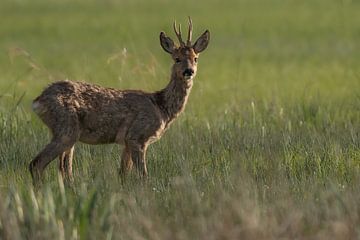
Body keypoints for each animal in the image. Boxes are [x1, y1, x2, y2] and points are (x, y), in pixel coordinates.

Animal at [30, 17, 211, 185]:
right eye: (177, 58)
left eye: (196, 58)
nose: (189, 71)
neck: (161, 106)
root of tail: (39, 101)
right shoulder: (137, 136)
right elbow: (143, 175)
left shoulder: (126, 142)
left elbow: (123, 174)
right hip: (66, 129)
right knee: (37, 163)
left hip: (66, 133)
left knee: (63, 169)